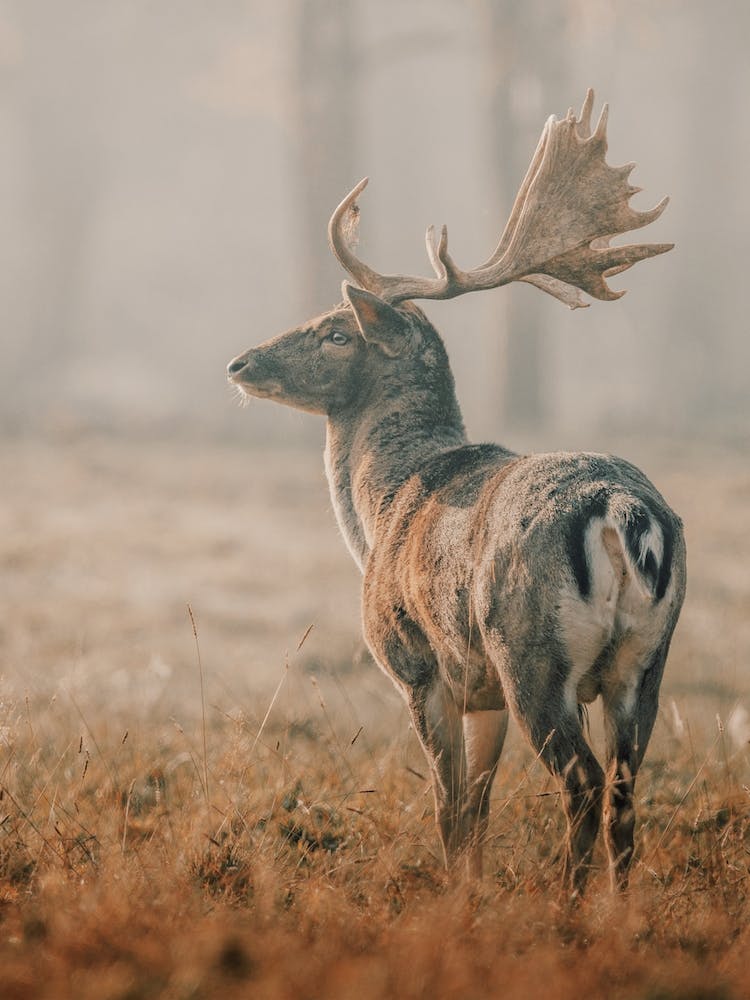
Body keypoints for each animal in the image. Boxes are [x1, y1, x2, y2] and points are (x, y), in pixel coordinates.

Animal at [227, 91, 686, 896]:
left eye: (336, 332)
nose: (241, 362)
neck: (382, 510)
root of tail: (625, 513)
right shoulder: (482, 692)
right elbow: (476, 807)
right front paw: (470, 891)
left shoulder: (420, 664)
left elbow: (447, 807)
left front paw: (453, 899)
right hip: (644, 661)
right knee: (627, 793)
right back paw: (618, 912)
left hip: (531, 651)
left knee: (582, 783)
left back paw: (567, 910)